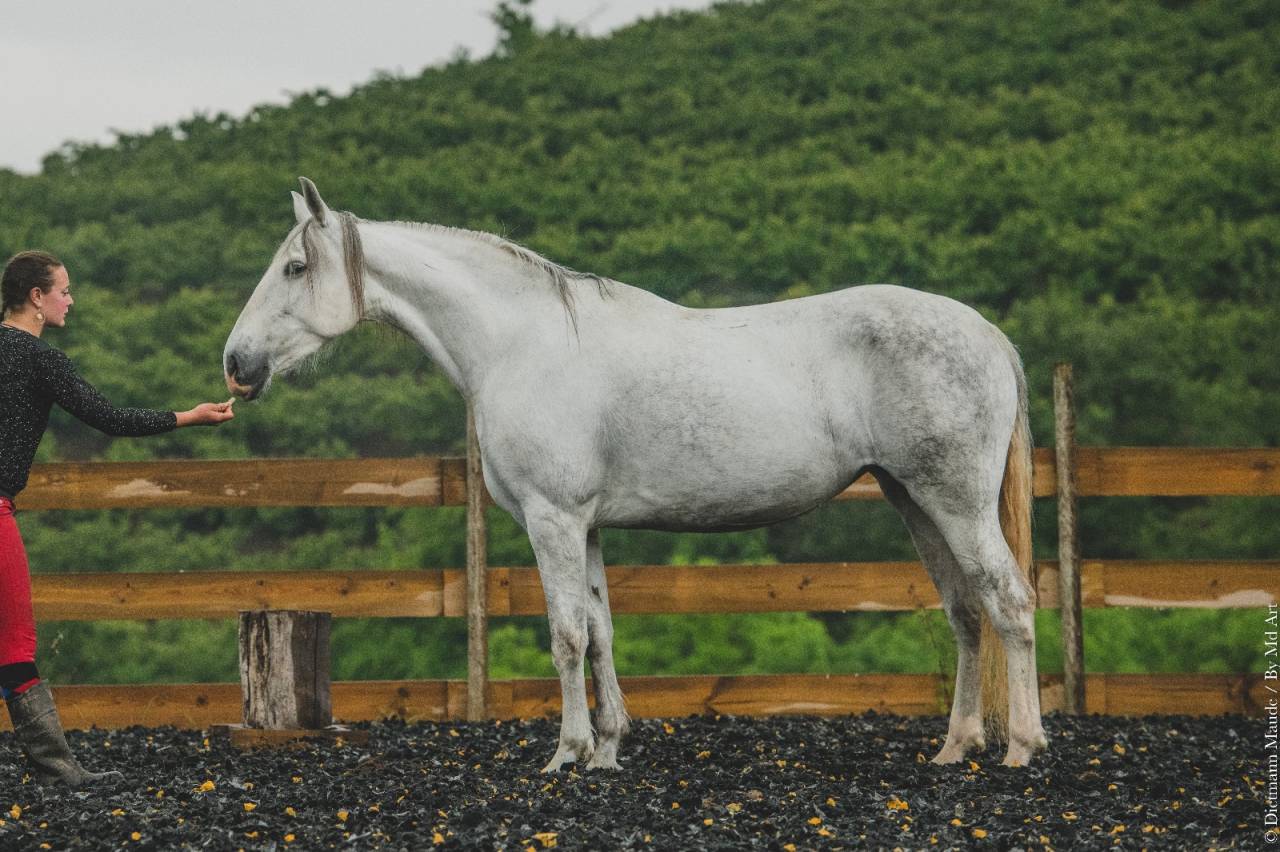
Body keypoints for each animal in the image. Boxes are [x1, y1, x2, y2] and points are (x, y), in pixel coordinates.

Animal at [223, 178, 1048, 770]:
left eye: (295, 266)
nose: (237, 364)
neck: (521, 342)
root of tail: (988, 334)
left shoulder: (553, 519)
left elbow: (564, 634)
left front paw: (567, 753)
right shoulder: (584, 526)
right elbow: (600, 630)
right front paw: (610, 748)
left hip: (956, 503)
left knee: (1008, 602)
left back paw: (1021, 746)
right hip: (914, 501)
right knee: (965, 611)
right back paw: (955, 746)